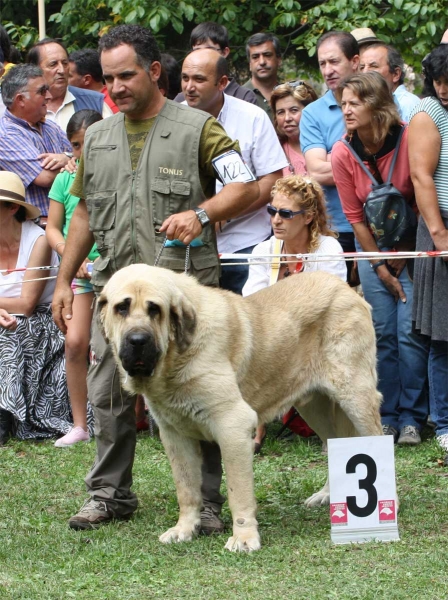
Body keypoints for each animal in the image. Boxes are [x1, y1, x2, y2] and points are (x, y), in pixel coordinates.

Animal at [97, 264, 382, 552]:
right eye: (122, 308)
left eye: (155, 309)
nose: (138, 340)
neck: (176, 356)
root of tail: (346, 288)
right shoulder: (174, 435)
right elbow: (186, 489)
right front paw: (184, 529)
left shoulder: (232, 426)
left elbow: (238, 490)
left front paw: (244, 537)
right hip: (315, 407)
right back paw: (327, 495)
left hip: (356, 398)